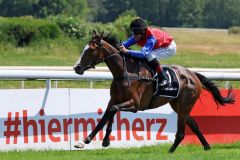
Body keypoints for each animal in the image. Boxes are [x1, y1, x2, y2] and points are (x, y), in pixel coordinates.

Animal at [72, 31, 234, 152]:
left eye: (91, 49)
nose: (77, 68)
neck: (124, 73)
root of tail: (193, 74)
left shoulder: (135, 104)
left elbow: (113, 111)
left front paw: (104, 140)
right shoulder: (114, 99)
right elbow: (106, 116)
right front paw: (86, 140)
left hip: (184, 104)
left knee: (181, 132)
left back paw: (170, 152)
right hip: (179, 105)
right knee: (194, 126)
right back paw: (207, 147)